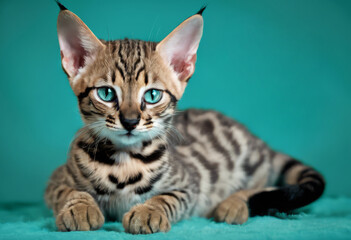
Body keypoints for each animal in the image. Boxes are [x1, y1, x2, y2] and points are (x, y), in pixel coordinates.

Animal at [45, 2, 326, 234]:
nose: (130, 121)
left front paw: (149, 211)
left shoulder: (190, 185)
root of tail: (260, 143)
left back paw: (234, 204)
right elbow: (68, 190)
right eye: (106, 93)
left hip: (250, 168)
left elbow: (167, 197)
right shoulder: (55, 180)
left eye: (153, 95)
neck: (124, 163)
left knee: (265, 187)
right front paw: (80, 207)